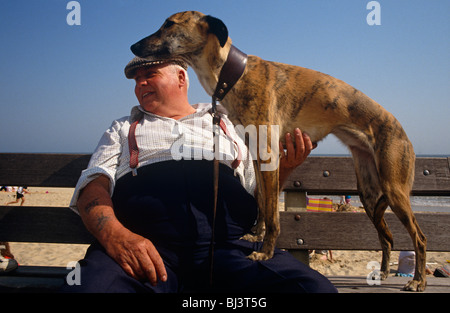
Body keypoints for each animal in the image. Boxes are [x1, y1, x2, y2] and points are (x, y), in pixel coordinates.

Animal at [131, 11, 428, 290]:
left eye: (169, 24)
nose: (133, 46)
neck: (234, 74)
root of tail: (401, 131)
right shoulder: (257, 156)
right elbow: (262, 203)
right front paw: (255, 235)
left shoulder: (269, 156)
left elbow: (273, 214)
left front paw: (266, 253)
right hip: (368, 193)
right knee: (387, 236)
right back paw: (384, 273)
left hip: (394, 188)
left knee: (420, 237)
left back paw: (417, 281)